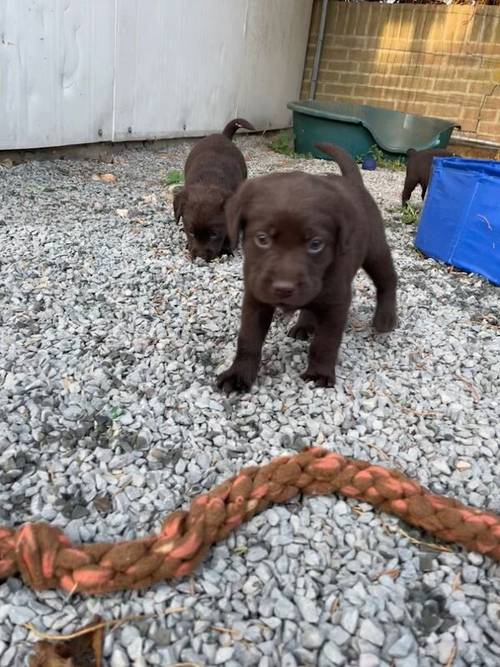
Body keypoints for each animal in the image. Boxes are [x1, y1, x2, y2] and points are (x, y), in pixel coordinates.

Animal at [175, 118, 254, 260]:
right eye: (191, 232)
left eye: (214, 234)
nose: (200, 256)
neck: (209, 181)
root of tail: (222, 135)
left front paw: (227, 249)